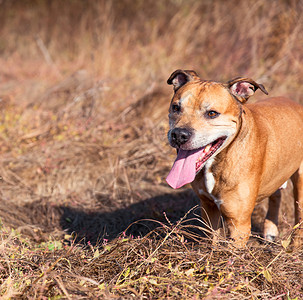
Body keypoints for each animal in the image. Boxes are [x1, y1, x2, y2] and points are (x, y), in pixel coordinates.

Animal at [166, 69, 303, 247]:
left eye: (212, 113)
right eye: (176, 107)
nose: (179, 134)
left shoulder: (238, 225)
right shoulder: (209, 209)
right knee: (276, 195)